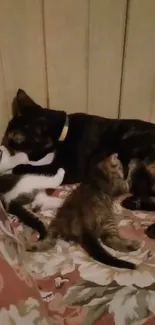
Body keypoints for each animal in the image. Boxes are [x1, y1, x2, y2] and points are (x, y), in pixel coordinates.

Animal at [2, 87, 155, 211]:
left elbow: (41, 168)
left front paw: (19, 167)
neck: (64, 131)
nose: (7, 146)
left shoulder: (72, 168)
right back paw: (134, 202)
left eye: (14, 143)